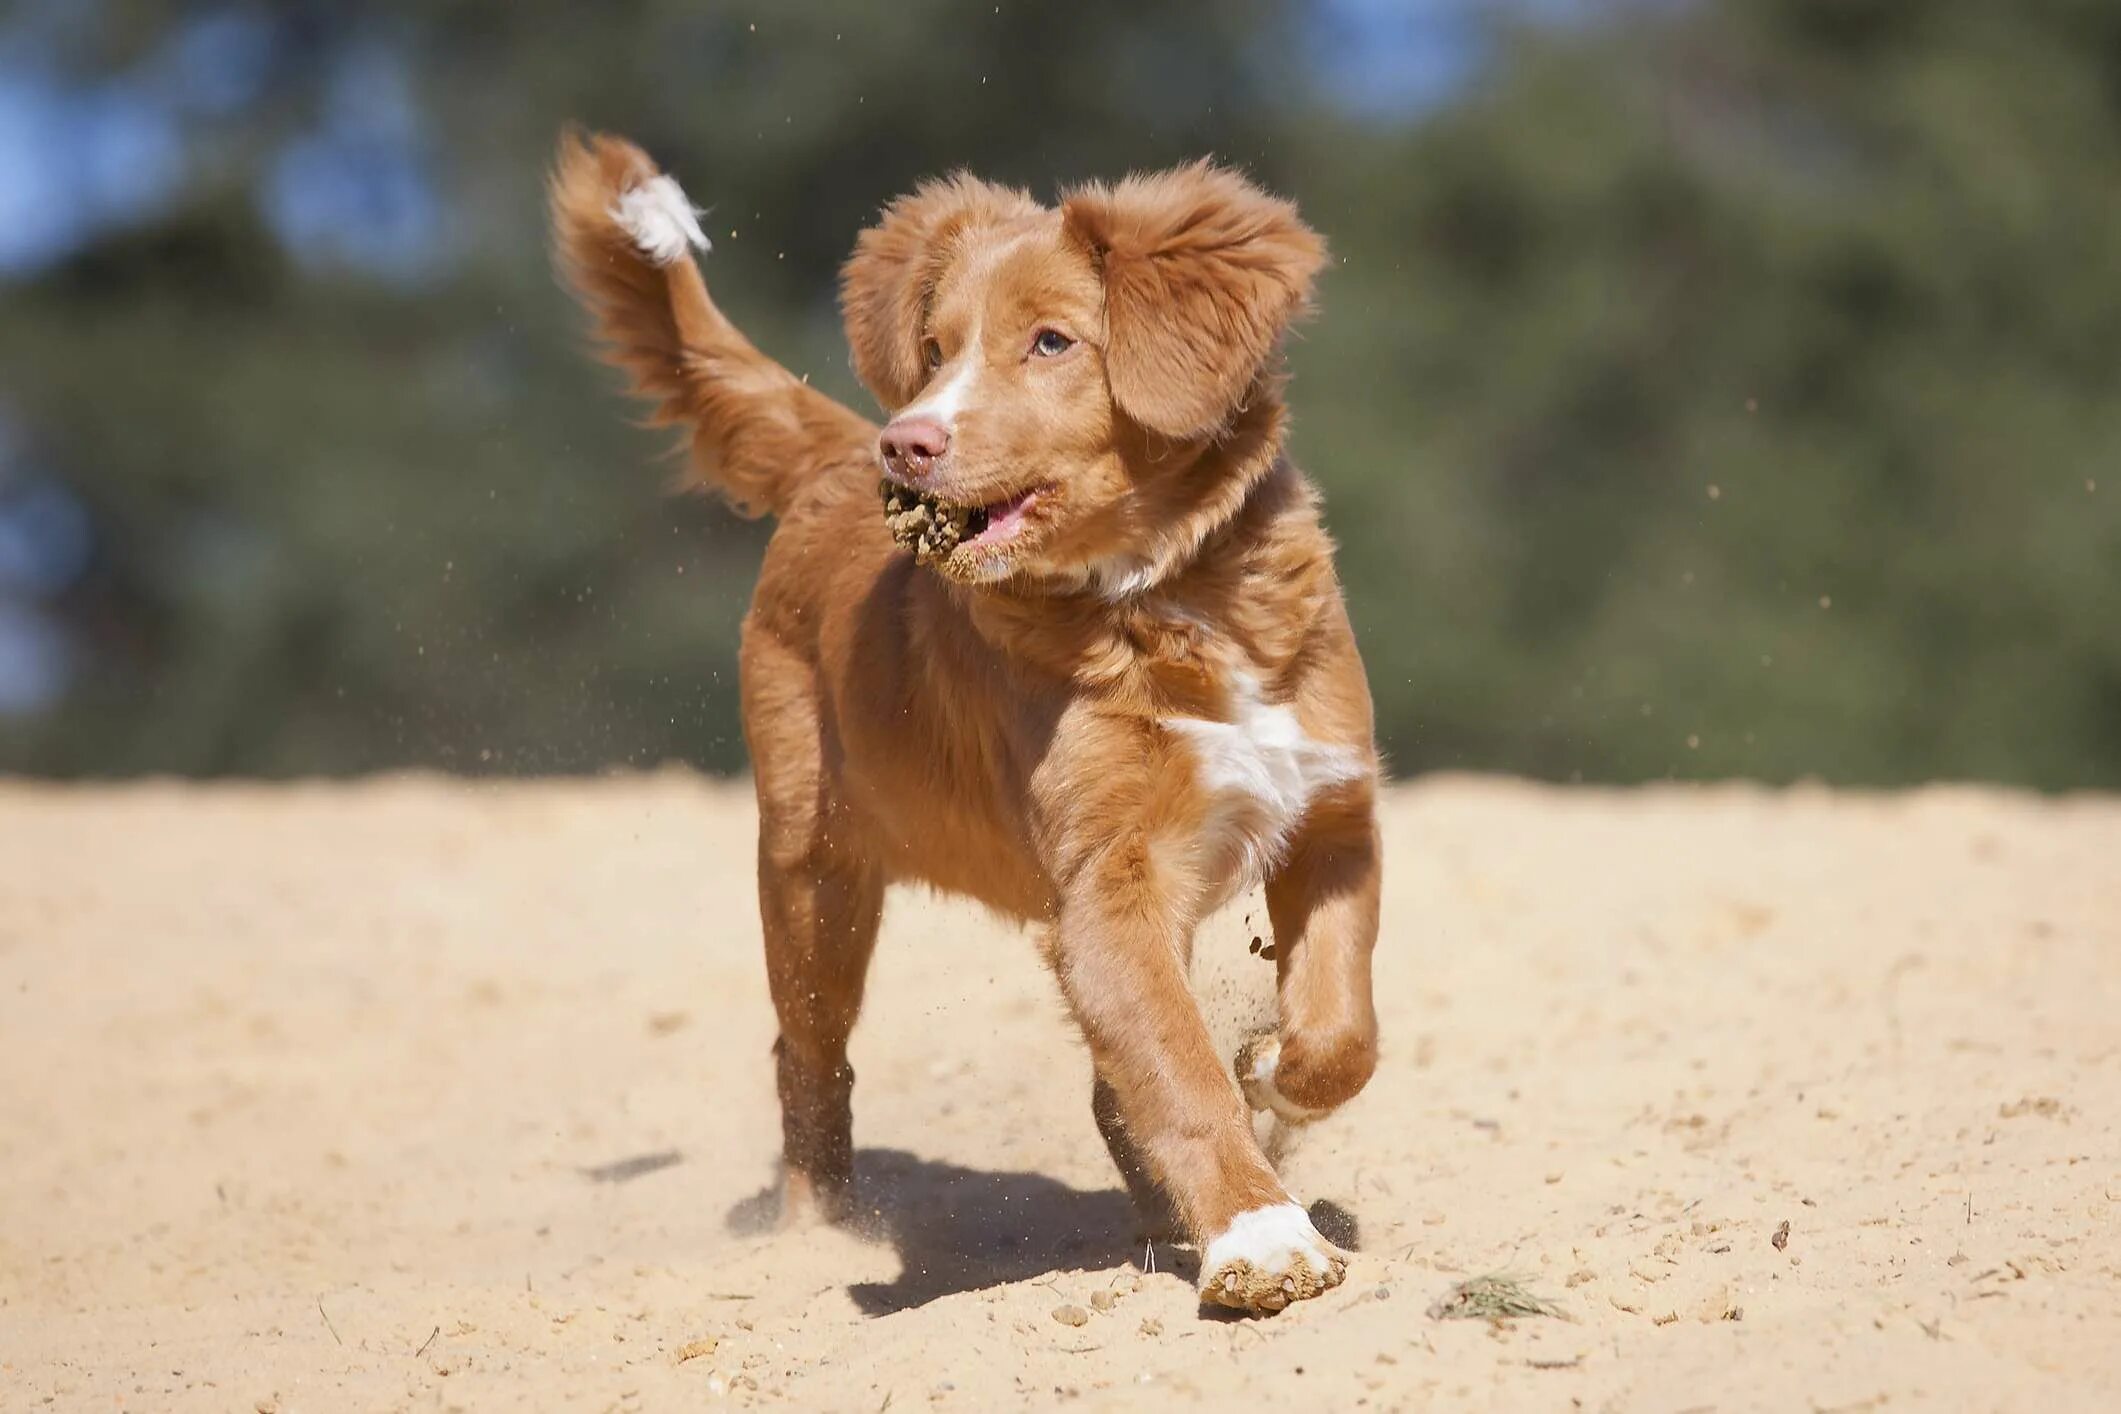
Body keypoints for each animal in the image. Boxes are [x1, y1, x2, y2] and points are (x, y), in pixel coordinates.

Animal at [549, 130, 1382, 1313]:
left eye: (1052, 341)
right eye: (937, 347)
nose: (908, 444)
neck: (1165, 598)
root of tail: (837, 454)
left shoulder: (1332, 812)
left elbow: (1341, 1029)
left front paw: (1271, 1072)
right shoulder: (1105, 885)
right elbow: (1175, 1061)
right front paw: (1260, 1235)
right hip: (811, 870)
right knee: (808, 1056)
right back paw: (818, 1235)